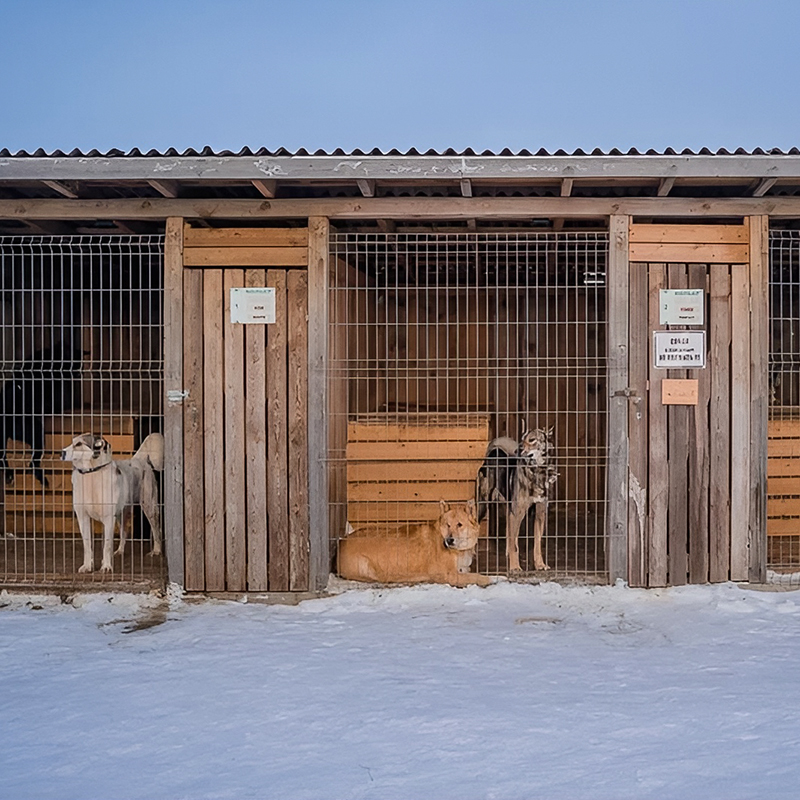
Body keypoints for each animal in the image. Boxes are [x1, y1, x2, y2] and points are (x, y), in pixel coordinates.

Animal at [61, 434, 166, 572]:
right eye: (72, 442)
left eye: (78, 444)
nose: (61, 452)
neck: (91, 473)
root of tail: (139, 459)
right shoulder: (83, 517)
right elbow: (87, 545)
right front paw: (88, 566)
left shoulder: (108, 518)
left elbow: (107, 545)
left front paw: (106, 566)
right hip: (122, 513)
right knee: (124, 532)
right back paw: (120, 551)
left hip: (149, 506)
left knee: (156, 529)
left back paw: (156, 551)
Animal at [334, 500, 490, 588]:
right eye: (448, 525)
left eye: (459, 525)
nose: (449, 540)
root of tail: (342, 540)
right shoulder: (449, 575)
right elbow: (475, 576)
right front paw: (489, 579)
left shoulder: (461, 569)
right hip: (366, 567)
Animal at [476, 428, 556, 572]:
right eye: (522, 438)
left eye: (532, 439)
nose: (518, 449)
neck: (535, 473)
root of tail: (493, 453)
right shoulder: (517, 514)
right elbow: (515, 545)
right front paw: (515, 567)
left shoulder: (540, 514)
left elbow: (537, 544)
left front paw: (540, 564)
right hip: (484, 504)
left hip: (509, 509)